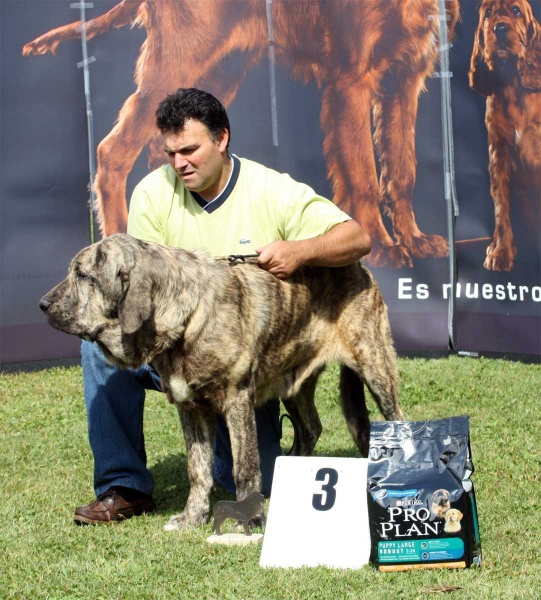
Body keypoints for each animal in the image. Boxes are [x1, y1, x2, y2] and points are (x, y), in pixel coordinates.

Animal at [23, 0, 458, 268]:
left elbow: (402, 170)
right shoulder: (352, 79)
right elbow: (365, 175)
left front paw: (414, 239)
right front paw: (383, 247)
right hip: (180, 61)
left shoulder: (405, 78)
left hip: (216, 74)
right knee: (112, 151)